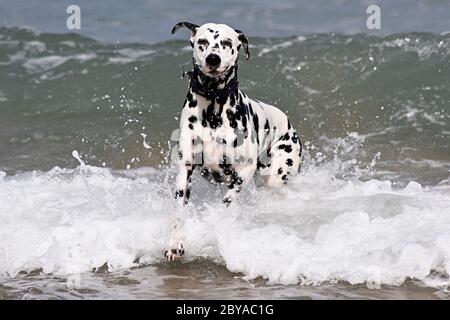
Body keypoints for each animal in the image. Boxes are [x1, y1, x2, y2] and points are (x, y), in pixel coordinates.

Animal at [165, 22, 302, 262]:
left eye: (227, 42)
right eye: (202, 42)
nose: (213, 59)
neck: (212, 107)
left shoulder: (244, 171)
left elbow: (227, 201)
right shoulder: (185, 170)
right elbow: (179, 211)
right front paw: (175, 244)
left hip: (278, 171)